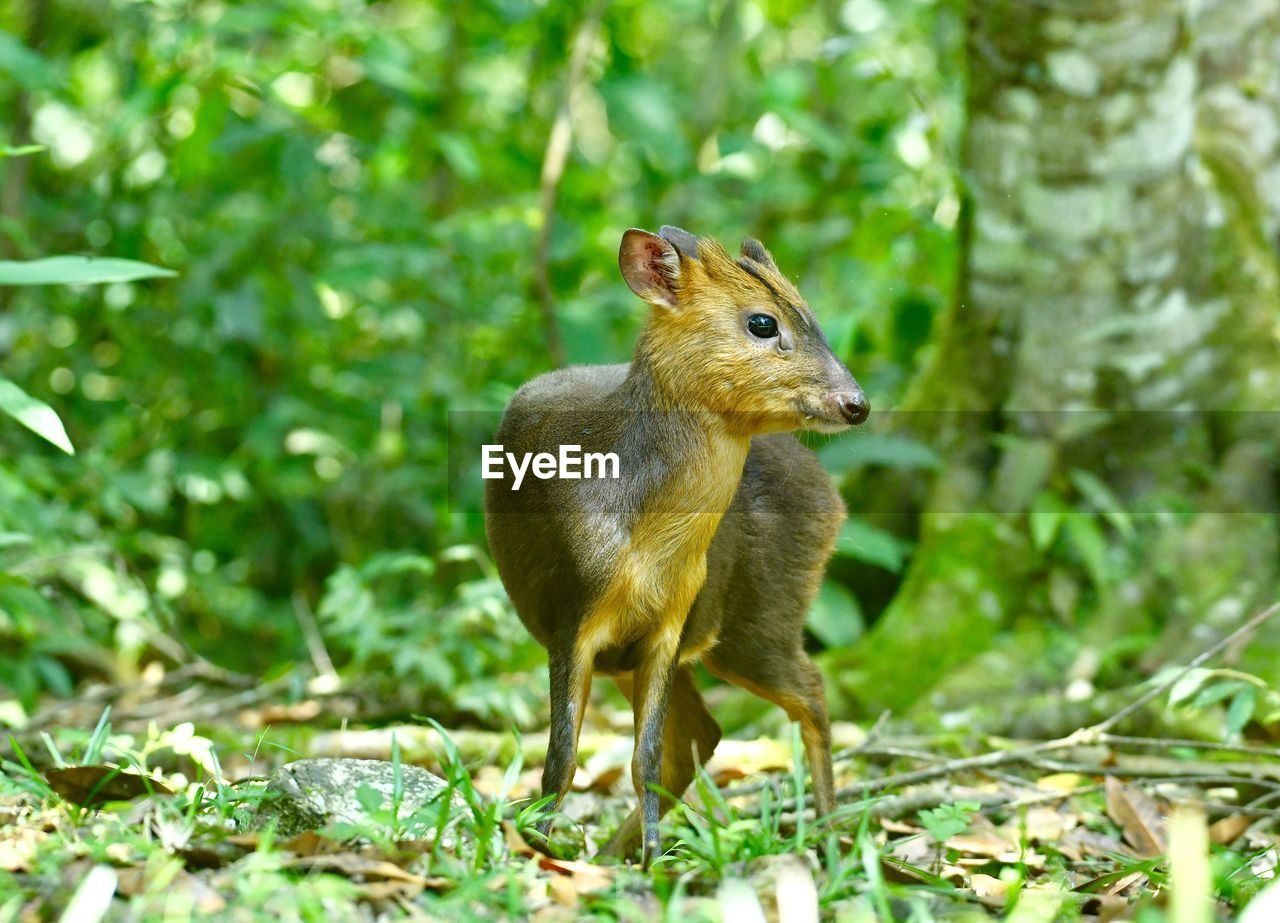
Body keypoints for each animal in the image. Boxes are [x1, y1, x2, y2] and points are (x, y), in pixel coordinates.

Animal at [481, 225, 870, 865]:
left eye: (810, 313)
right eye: (762, 322)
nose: (855, 403)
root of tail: (833, 500)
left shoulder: (670, 623)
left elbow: (642, 759)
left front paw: (645, 858)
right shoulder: (572, 614)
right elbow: (563, 757)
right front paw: (538, 849)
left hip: (760, 614)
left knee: (805, 693)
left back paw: (830, 839)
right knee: (708, 730)